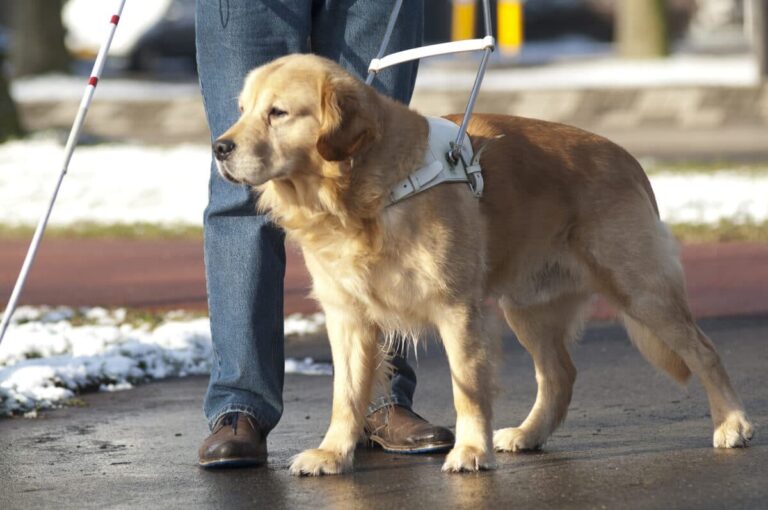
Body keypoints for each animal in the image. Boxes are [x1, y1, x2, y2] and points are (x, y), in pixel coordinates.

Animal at [213, 54, 752, 474]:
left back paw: (732, 423)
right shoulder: (348, 316)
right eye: (241, 111)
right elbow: (346, 394)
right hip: (527, 306)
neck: (363, 193)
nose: (219, 147)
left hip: (639, 287)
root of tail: (627, 157)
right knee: (559, 374)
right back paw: (530, 433)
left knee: (704, 350)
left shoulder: (457, 307)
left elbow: (467, 387)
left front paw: (471, 451)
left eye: (278, 113)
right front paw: (333, 453)